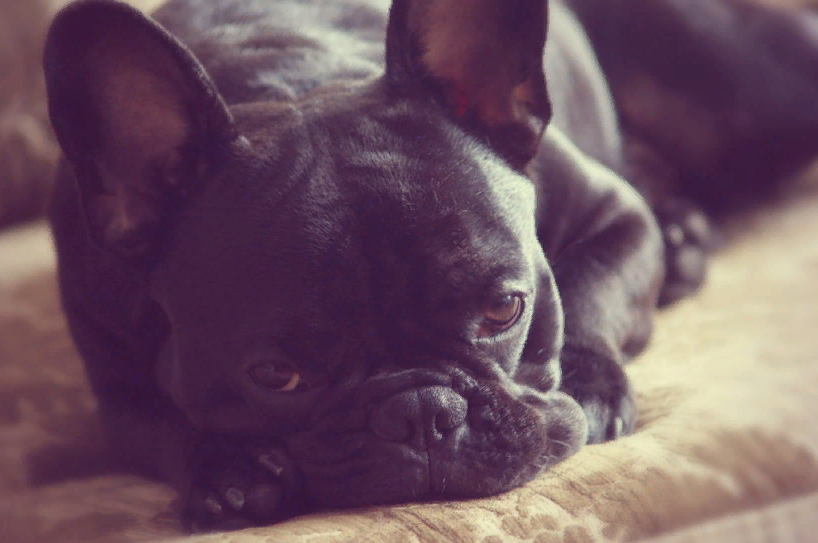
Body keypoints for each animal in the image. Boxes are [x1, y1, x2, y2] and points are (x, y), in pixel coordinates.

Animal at [42, 0, 818, 531]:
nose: (422, 412)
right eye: (275, 375)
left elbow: (588, 290)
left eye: (504, 309)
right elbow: (158, 425)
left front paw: (590, 383)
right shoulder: (109, 376)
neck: (295, 76)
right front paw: (227, 466)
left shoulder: (614, 215)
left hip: (746, 87)